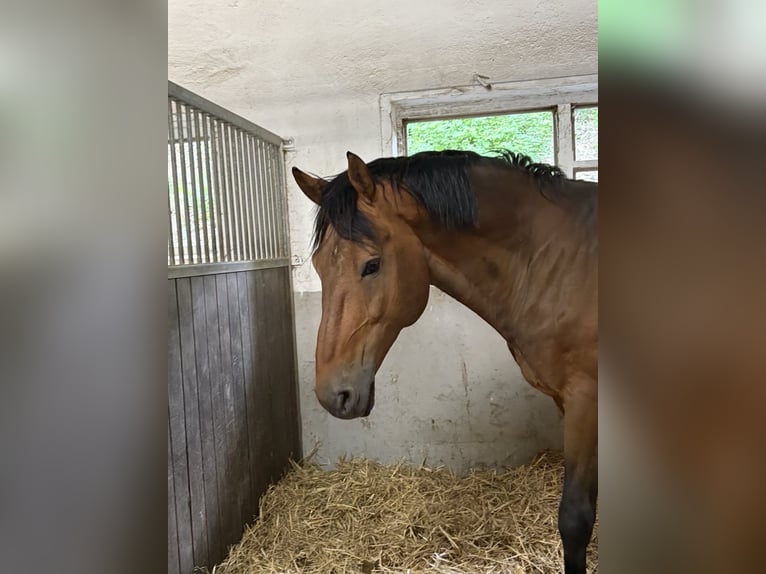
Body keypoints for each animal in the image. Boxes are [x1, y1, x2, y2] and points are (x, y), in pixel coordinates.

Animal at [292, 149, 598, 574]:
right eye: (319, 265)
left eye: (372, 265)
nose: (331, 394)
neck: (559, 262)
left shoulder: (586, 398)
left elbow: (576, 519)